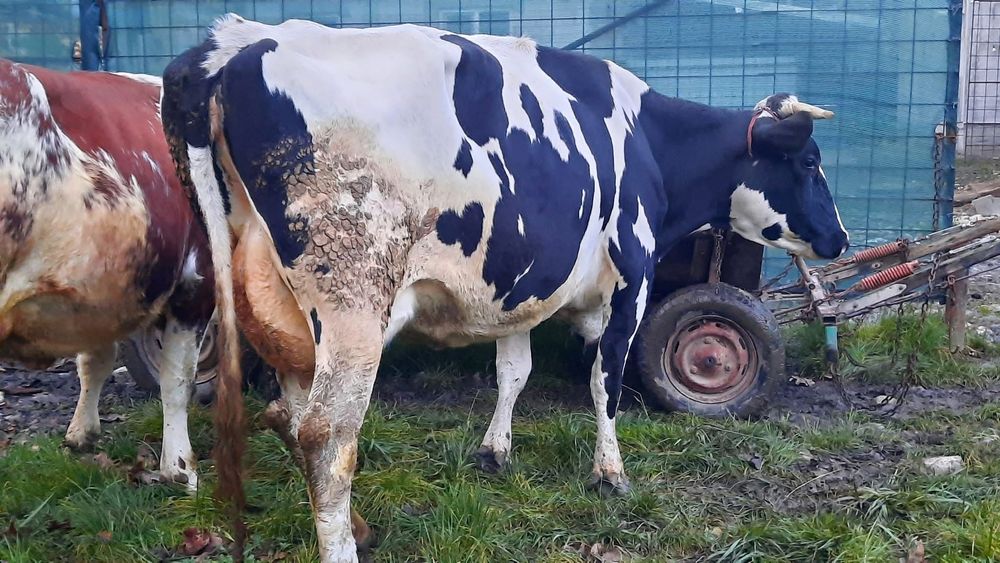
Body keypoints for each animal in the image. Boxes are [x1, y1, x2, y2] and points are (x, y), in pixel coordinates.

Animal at [162, 15, 849, 562]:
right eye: (810, 162)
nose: (840, 238)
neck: (650, 143)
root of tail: (229, 46)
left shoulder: (520, 290)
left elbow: (513, 371)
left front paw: (495, 452)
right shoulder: (632, 277)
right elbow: (606, 380)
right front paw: (610, 472)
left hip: (281, 310)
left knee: (288, 413)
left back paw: (357, 525)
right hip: (353, 301)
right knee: (325, 436)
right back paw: (344, 543)